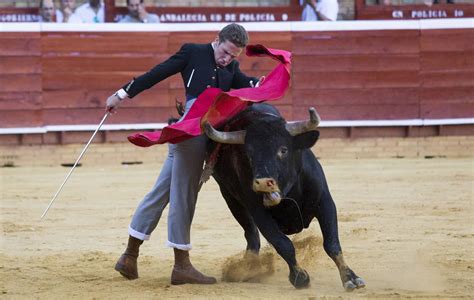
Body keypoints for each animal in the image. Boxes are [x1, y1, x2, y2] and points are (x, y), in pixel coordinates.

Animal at [204, 103, 366, 290]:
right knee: (251, 235)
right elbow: (283, 244)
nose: (263, 182)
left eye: (283, 150)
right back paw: (248, 269)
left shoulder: (325, 202)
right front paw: (300, 277)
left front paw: (350, 278)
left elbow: (332, 243)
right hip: (230, 198)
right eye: (249, 154)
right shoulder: (259, 213)